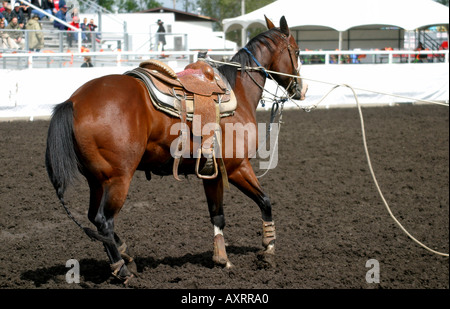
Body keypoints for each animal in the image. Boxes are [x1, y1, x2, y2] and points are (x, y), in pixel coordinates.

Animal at [44, 15, 306, 282]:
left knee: (94, 219)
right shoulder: (237, 167)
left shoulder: (210, 172)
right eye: (296, 51)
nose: (301, 89)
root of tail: (74, 101)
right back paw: (123, 269)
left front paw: (221, 258)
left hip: (97, 180)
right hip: (118, 179)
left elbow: (217, 214)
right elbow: (265, 201)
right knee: (104, 221)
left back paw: (127, 256)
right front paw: (268, 250)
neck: (238, 94)